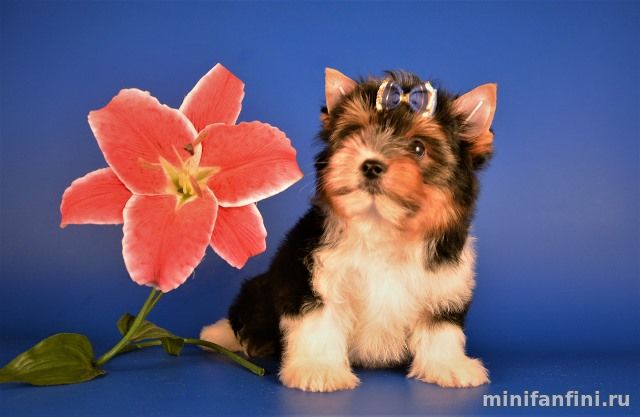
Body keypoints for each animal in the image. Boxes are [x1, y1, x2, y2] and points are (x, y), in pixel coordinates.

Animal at [201, 68, 497, 392]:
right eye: (356, 133)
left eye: (419, 147)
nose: (371, 165)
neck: (382, 225)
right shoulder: (310, 273)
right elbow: (318, 318)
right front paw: (319, 368)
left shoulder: (444, 282)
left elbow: (440, 326)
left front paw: (448, 365)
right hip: (262, 287)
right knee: (244, 313)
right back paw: (221, 335)